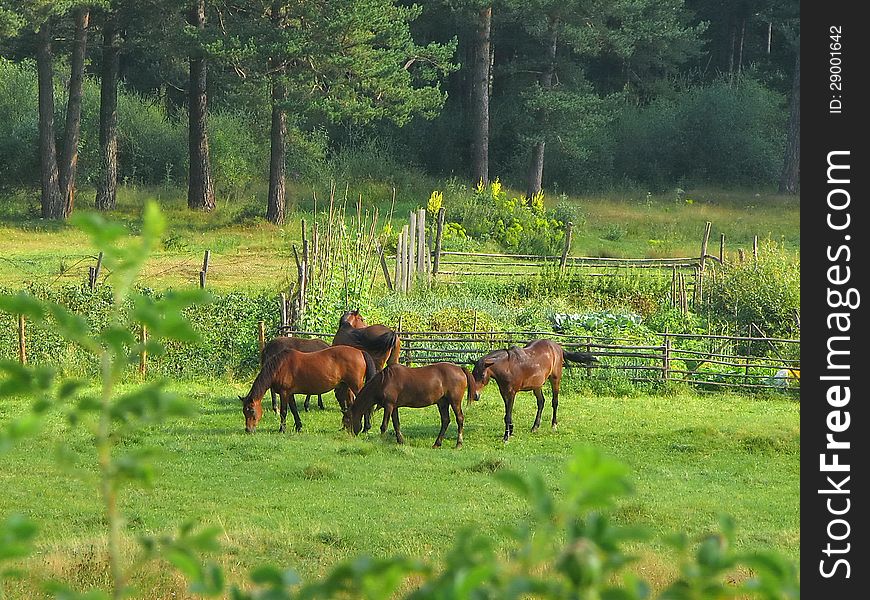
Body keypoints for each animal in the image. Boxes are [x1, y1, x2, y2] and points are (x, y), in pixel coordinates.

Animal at [240, 344, 376, 434]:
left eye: (251, 410)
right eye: (244, 411)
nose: (248, 429)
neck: (280, 367)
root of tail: (360, 352)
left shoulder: (284, 393)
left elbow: (284, 412)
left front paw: (282, 429)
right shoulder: (289, 394)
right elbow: (294, 410)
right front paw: (299, 427)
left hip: (355, 386)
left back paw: (365, 428)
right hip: (346, 386)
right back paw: (346, 427)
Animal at [344, 360, 474, 450]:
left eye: (347, 420)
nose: (349, 436)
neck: (384, 381)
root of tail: (460, 369)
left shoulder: (388, 405)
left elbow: (384, 426)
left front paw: (380, 441)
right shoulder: (394, 407)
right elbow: (396, 424)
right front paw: (401, 441)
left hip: (455, 401)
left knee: (460, 419)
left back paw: (458, 444)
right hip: (442, 403)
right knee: (445, 421)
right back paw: (437, 443)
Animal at [470, 340, 600, 442]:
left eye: (482, 375)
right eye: (473, 374)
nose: (475, 396)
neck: (507, 366)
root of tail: (557, 347)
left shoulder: (511, 393)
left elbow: (508, 415)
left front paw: (506, 437)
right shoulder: (504, 393)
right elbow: (508, 413)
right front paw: (511, 431)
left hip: (555, 380)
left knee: (555, 402)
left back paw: (554, 425)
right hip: (537, 385)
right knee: (541, 402)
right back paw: (535, 427)